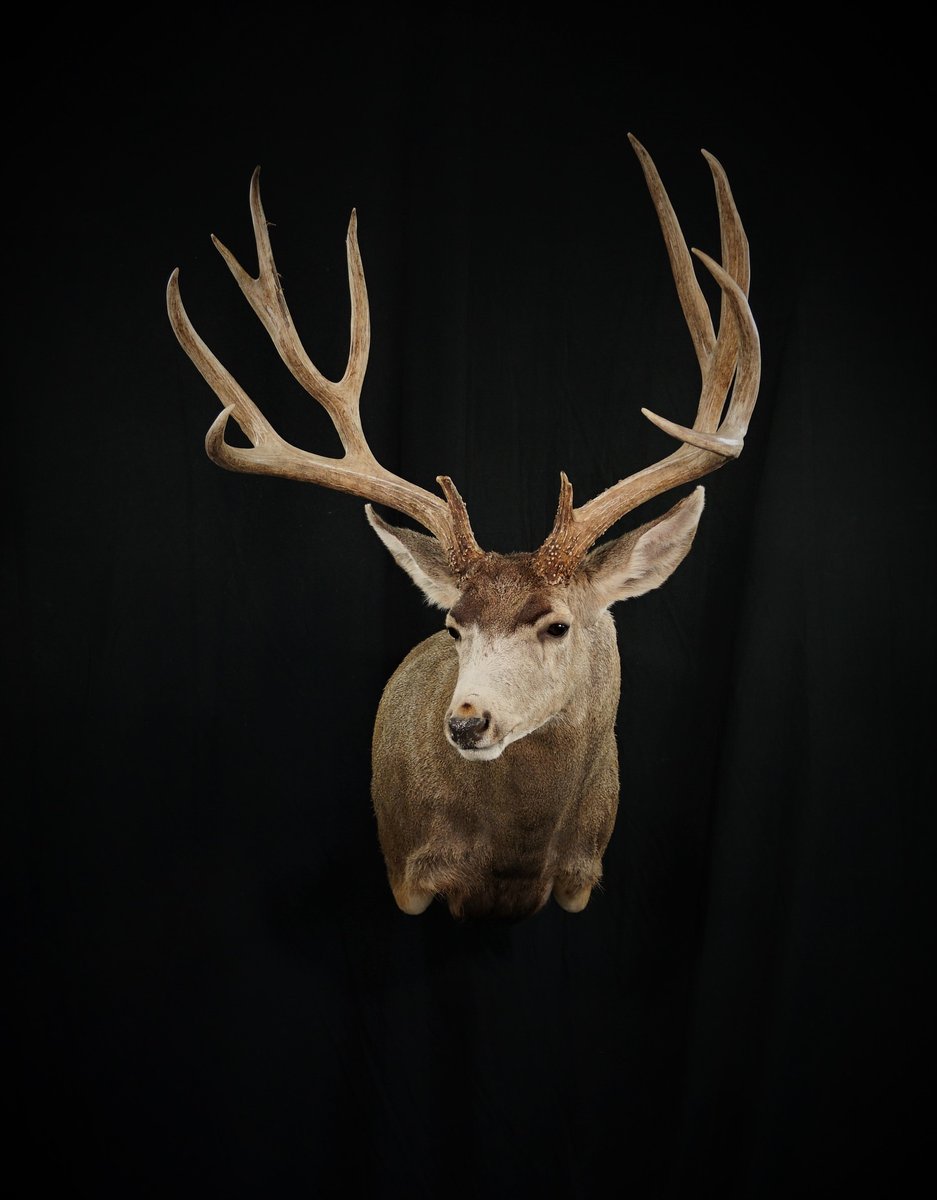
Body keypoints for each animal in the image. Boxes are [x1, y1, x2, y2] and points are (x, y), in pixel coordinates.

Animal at [166, 134, 760, 922]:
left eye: (556, 624)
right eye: (452, 625)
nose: (467, 723)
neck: (513, 862)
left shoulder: (583, 878)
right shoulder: (406, 874)